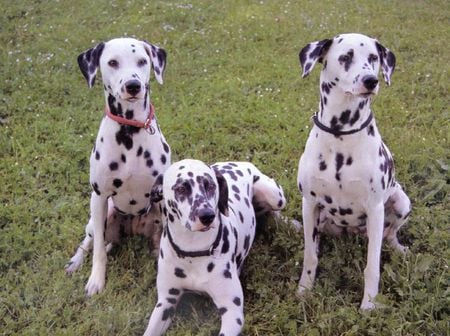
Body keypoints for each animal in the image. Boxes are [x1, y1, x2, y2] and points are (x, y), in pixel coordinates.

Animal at [65, 37, 172, 296]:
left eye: (142, 61)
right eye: (113, 62)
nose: (133, 86)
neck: (129, 132)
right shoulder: (99, 196)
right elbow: (98, 252)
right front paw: (96, 279)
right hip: (99, 216)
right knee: (91, 241)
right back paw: (76, 261)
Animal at [142, 159, 286, 334]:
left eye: (210, 186)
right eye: (181, 188)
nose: (207, 216)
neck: (193, 251)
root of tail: (238, 162)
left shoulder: (232, 312)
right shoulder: (165, 302)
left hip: (275, 196)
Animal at [296, 33, 412, 310]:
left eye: (373, 57)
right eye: (345, 57)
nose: (371, 80)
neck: (341, 136)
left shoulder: (375, 209)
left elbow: (372, 267)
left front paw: (368, 304)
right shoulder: (310, 204)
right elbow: (310, 256)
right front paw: (304, 290)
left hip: (401, 202)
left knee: (390, 235)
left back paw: (399, 248)